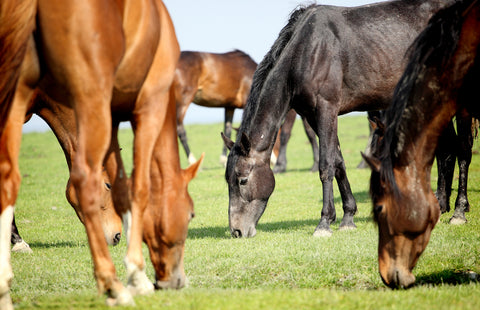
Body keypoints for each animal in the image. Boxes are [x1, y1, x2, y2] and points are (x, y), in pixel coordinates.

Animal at [0, 0, 202, 308]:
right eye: (190, 214)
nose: (116, 236)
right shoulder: (148, 106)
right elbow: (138, 188)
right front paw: (136, 276)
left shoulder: (113, 114)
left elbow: (123, 189)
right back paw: (114, 286)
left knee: (8, 178)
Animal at [221, 0, 450, 237]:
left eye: (242, 180)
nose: (236, 231)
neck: (307, 51)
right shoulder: (314, 115)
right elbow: (338, 161)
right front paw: (348, 216)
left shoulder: (326, 109)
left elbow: (326, 166)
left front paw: (324, 222)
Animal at [364, 0, 480, 290]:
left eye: (380, 209)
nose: (388, 275)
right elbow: (443, 152)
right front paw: (441, 200)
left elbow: (459, 150)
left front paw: (456, 209)